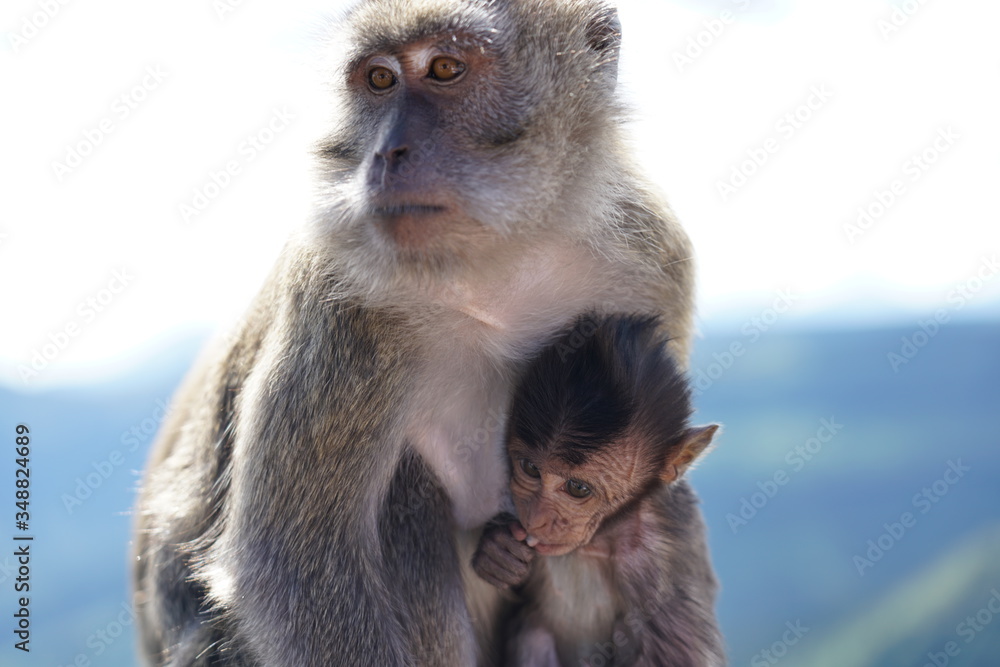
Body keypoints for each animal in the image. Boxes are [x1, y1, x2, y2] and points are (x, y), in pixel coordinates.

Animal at [472, 313, 724, 666]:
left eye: (577, 488)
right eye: (531, 469)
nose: (535, 520)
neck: (602, 536)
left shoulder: (659, 558)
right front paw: (497, 551)